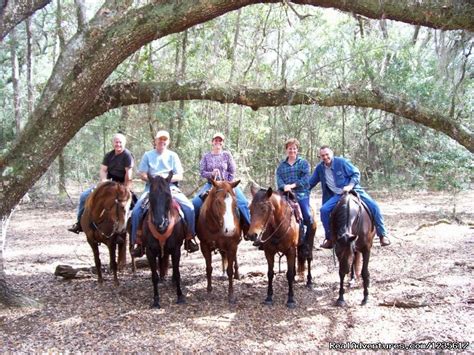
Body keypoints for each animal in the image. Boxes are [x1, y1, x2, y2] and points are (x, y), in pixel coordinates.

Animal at [140, 172, 186, 308]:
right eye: (151, 196)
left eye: (168, 195)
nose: (160, 223)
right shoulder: (150, 251)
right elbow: (153, 276)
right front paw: (156, 300)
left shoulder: (176, 249)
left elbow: (177, 272)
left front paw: (180, 297)